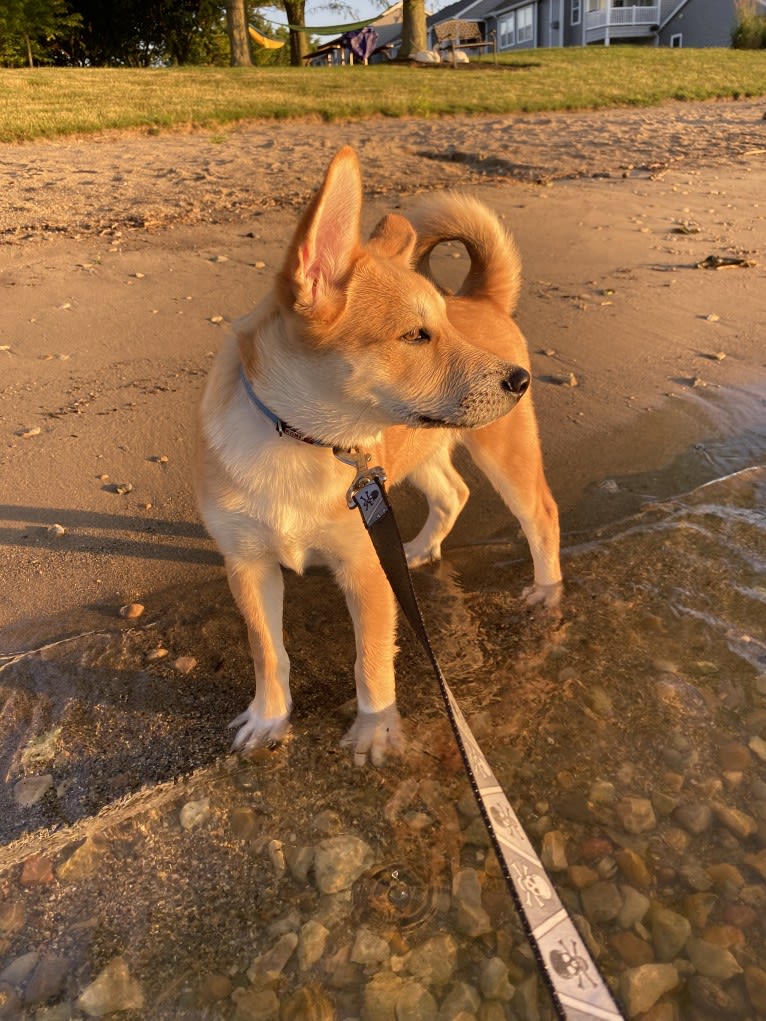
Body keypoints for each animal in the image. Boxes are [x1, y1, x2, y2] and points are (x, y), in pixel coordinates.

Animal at [195, 146, 559, 767]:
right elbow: (268, 652)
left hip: (504, 450)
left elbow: (370, 660)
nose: (518, 381)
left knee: (541, 515)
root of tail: (480, 298)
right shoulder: (247, 564)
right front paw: (269, 720)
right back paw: (420, 549)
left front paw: (376, 730)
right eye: (416, 336)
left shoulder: (364, 569)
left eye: (440, 328)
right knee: (454, 494)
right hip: (423, 452)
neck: (298, 442)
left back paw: (547, 593)